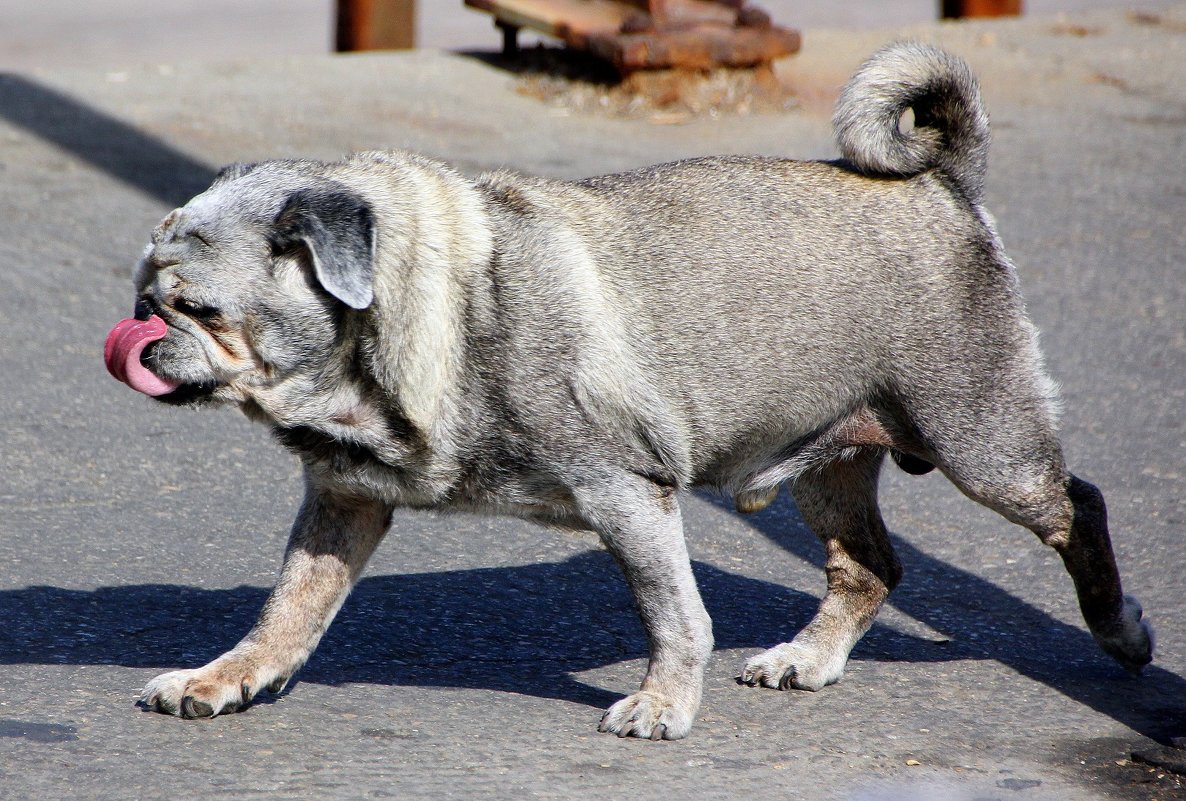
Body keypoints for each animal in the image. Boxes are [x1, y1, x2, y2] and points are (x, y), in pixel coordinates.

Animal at [109, 42, 1148, 740]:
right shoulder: (343, 503)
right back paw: (808, 658)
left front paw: (663, 700)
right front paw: (227, 676)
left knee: (1076, 504)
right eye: (145, 295)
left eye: (198, 307)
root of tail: (940, 185)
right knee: (870, 567)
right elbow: (287, 610)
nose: (139, 330)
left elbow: (675, 613)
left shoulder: (627, 495)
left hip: (984, 444)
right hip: (830, 466)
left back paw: (1121, 630)